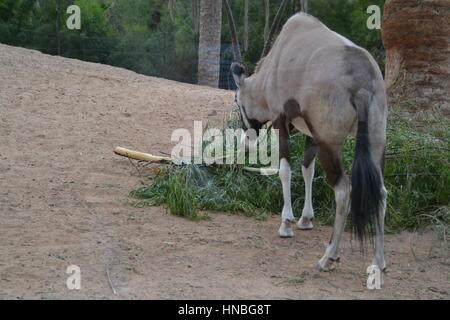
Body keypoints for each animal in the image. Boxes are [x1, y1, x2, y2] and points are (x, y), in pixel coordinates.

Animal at [223, 2, 388, 276]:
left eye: (237, 100)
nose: (248, 140)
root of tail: (362, 82)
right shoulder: (312, 135)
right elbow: (307, 169)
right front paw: (306, 219)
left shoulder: (281, 122)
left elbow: (285, 170)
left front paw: (286, 224)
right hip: (375, 141)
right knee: (381, 192)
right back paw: (379, 261)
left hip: (331, 143)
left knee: (343, 190)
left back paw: (328, 258)